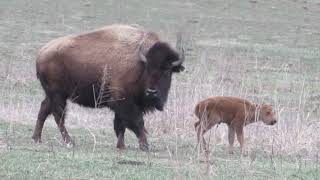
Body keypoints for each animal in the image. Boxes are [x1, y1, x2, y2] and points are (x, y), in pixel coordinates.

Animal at [31, 24, 185, 150]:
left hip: (52, 94)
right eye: (147, 69)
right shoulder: (124, 102)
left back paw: (37, 139)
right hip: (58, 95)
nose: (151, 92)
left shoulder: (123, 104)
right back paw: (69, 141)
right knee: (58, 115)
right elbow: (136, 122)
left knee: (44, 110)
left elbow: (120, 125)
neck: (139, 63)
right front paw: (144, 145)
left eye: (167, 71)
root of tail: (41, 53)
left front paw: (121, 145)